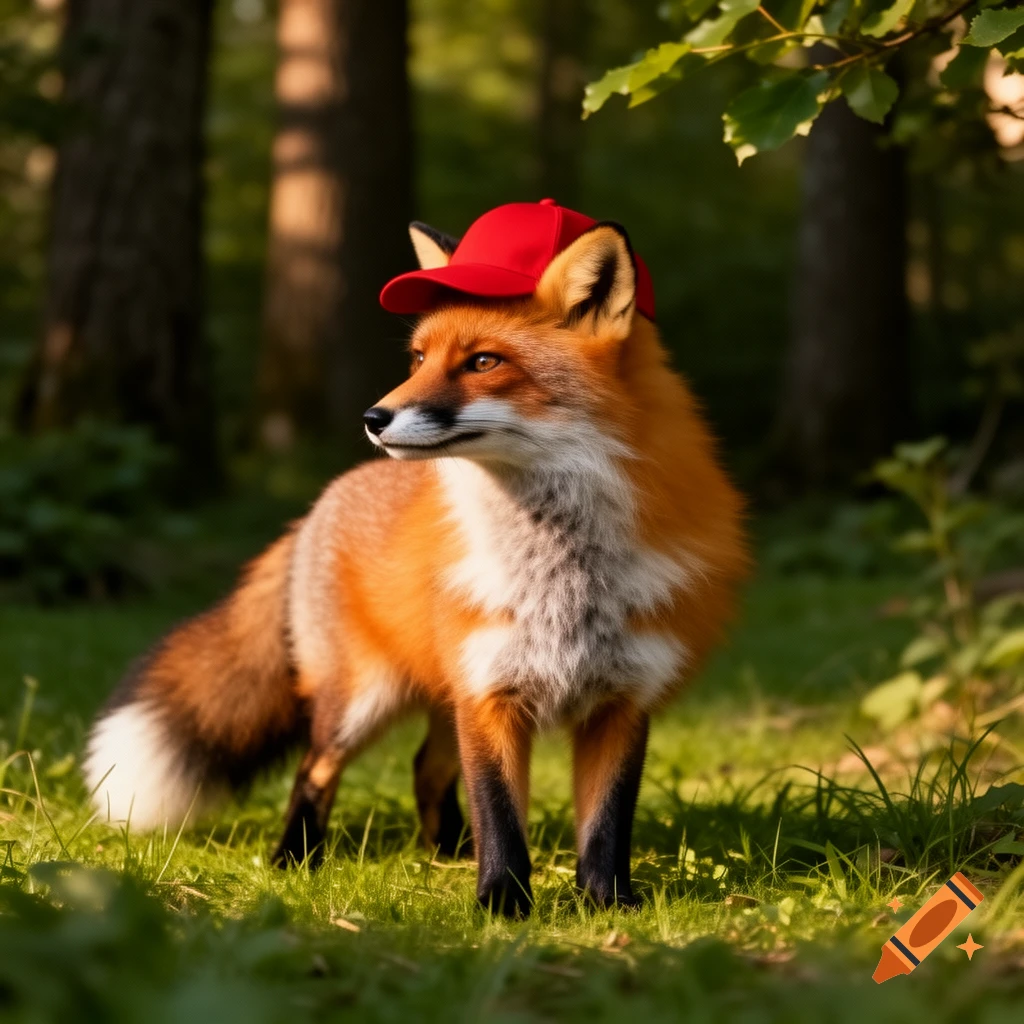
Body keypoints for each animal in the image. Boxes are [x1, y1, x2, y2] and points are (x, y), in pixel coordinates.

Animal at [84, 203, 747, 916]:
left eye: (483, 361)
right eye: (420, 358)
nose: (373, 417)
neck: (562, 574)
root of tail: (321, 503)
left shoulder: (621, 698)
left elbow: (605, 824)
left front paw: (606, 907)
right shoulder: (488, 692)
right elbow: (500, 814)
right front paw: (502, 906)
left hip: (439, 695)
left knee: (425, 770)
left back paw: (446, 853)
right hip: (363, 699)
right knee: (314, 769)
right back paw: (296, 859)